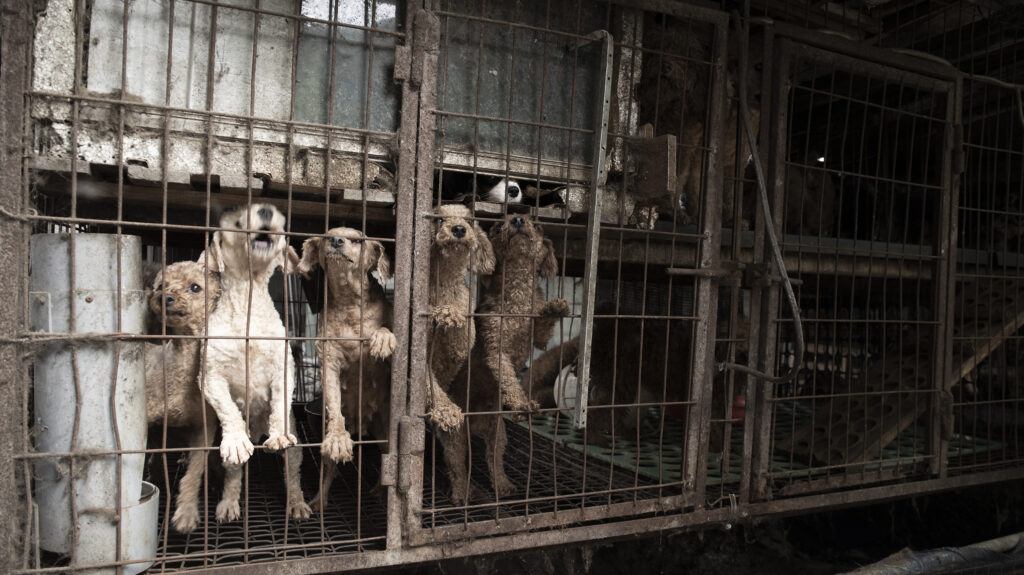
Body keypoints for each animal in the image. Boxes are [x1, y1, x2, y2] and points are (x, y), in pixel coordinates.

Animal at [197, 202, 309, 523]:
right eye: (236, 220)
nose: (267, 210)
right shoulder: (209, 377)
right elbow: (227, 408)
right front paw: (235, 440)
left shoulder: (284, 368)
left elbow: (280, 401)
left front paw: (278, 434)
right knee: (234, 474)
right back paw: (228, 503)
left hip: (296, 452)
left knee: (292, 474)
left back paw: (296, 503)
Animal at [296, 226, 395, 507]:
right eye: (326, 236)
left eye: (358, 240)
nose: (337, 241)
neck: (350, 301)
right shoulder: (328, 362)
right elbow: (333, 401)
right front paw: (339, 439)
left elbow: (385, 330)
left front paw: (382, 338)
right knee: (328, 469)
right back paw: (319, 500)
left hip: (384, 432)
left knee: (386, 462)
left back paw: (381, 491)